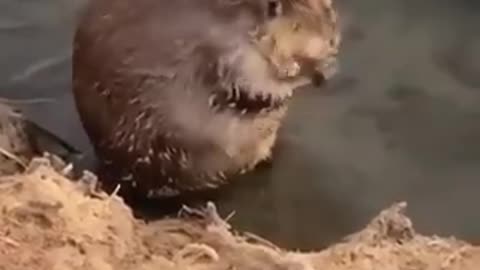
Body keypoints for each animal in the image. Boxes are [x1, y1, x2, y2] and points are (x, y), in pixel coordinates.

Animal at [72, 0, 342, 198]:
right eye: (297, 26)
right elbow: (250, 84)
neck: (236, 17)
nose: (331, 41)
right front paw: (308, 71)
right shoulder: (226, 50)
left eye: (329, 13)